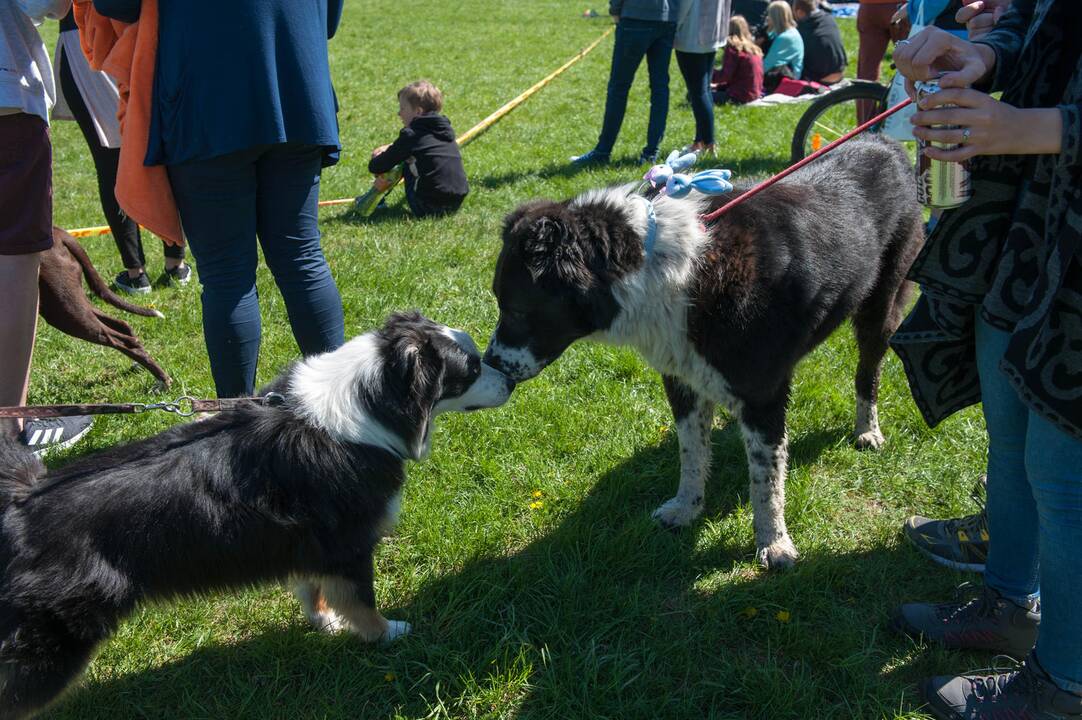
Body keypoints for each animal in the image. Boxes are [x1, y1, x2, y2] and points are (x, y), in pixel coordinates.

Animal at [0, 311, 510, 714]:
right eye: (472, 367)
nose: (511, 377)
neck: (371, 404)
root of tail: (20, 504)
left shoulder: (312, 543)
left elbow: (312, 588)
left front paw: (325, 623)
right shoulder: (349, 542)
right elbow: (361, 600)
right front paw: (387, 633)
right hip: (51, 646)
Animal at [489, 136, 921, 567]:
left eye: (515, 308)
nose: (490, 363)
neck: (657, 269)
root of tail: (884, 141)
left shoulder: (763, 392)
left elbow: (765, 479)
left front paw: (774, 541)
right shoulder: (683, 379)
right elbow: (692, 452)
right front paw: (686, 509)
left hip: (880, 306)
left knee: (868, 371)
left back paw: (867, 430)